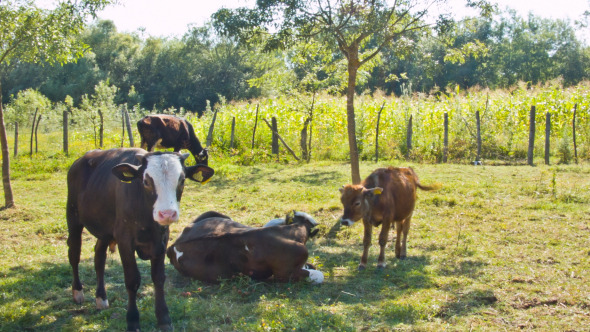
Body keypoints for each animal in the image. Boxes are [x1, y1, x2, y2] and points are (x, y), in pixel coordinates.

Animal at [67, 148, 215, 332]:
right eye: (146, 181)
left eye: (181, 180)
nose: (167, 214)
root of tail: (82, 159)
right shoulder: (124, 241)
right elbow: (132, 280)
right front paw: (132, 320)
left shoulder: (161, 241)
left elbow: (158, 278)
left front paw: (164, 318)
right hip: (73, 217)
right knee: (74, 254)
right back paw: (78, 292)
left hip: (105, 229)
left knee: (99, 258)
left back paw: (101, 297)